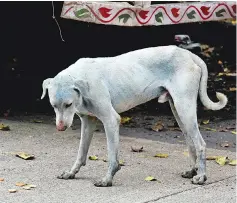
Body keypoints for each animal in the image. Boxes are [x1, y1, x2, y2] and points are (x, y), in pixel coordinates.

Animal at [41, 46, 228, 187]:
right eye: (53, 106)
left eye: (68, 104)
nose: (60, 128)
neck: (82, 78)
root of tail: (188, 54)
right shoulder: (88, 122)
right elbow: (81, 153)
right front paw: (71, 172)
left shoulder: (111, 120)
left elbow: (112, 156)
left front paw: (107, 179)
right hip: (178, 111)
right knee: (191, 143)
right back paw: (193, 171)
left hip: (184, 107)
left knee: (200, 144)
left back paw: (201, 176)